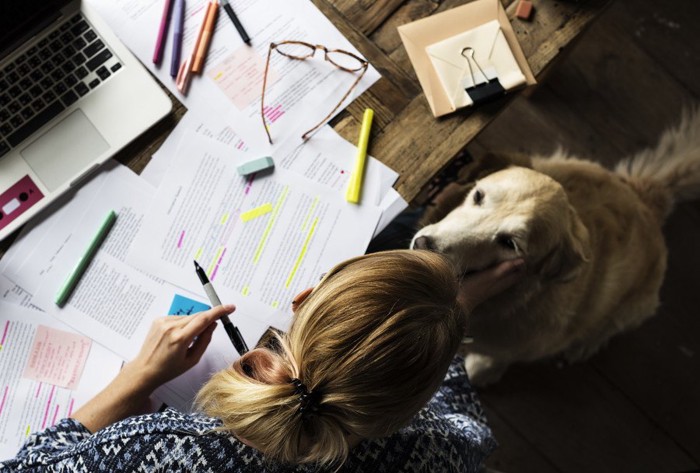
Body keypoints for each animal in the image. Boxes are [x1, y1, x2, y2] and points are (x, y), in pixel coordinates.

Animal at [410, 112, 700, 386]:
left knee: (607, 326)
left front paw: (482, 369)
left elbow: (500, 356)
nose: (423, 246)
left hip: (634, 306)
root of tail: (646, 199)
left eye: (509, 243)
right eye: (478, 196)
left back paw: (583, 346)